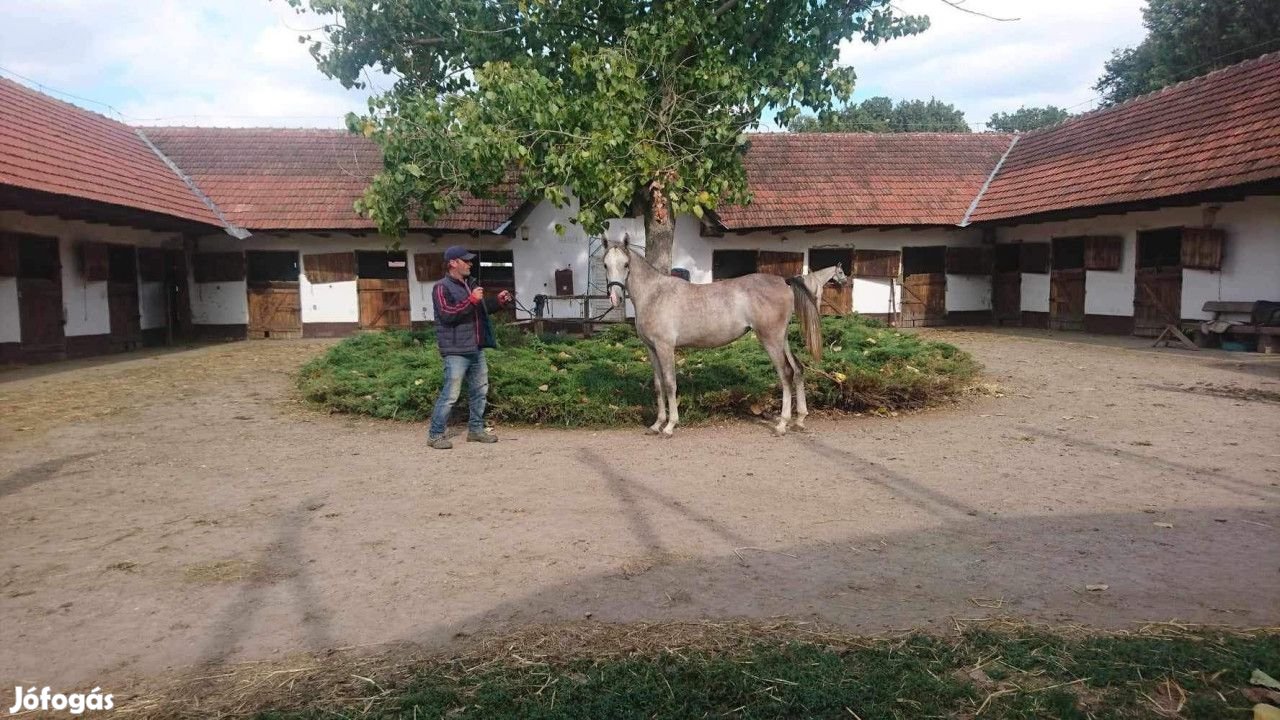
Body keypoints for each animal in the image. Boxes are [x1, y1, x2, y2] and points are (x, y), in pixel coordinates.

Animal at [604, 235, 844, 438]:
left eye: (626, 265)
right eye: (605, 264)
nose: (615, 297)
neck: (655, 294)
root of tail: (784, 282)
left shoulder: (665, 347)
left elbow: (670, 384)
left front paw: (670, 426)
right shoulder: (652, 349)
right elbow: (658, 384)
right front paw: (656, 424)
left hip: (770, 340)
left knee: (785, 374)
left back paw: (782, 424)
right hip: (781, 339)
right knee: (798, 369)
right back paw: (800, 420)